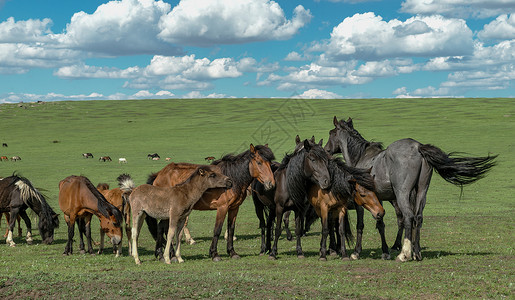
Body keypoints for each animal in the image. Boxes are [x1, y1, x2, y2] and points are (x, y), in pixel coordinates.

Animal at [147, 144, 276, 262]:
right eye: (259, 162)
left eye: (270, 163)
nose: (271, 183)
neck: (233, 178)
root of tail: (159, 174)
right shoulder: (222, 207)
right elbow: (217, 230)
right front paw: (214, 254)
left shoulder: (234, 208)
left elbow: (231, 229)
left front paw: (232, 252)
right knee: (165, 229)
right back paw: (172, 255)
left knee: (160, 228)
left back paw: (161, 254)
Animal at [326, 116, 500, 262]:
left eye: (331, 133)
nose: (327, 150)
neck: (361, 157)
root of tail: (418, 147)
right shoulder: (378, 199)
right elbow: (380, 225)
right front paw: (385, 252)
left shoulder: (362, 202)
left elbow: (362, 225)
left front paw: (357, 252)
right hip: (421, 192)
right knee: (418, 217)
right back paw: (416, 253)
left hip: (402, 194)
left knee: (409, 217)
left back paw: (404, 254)